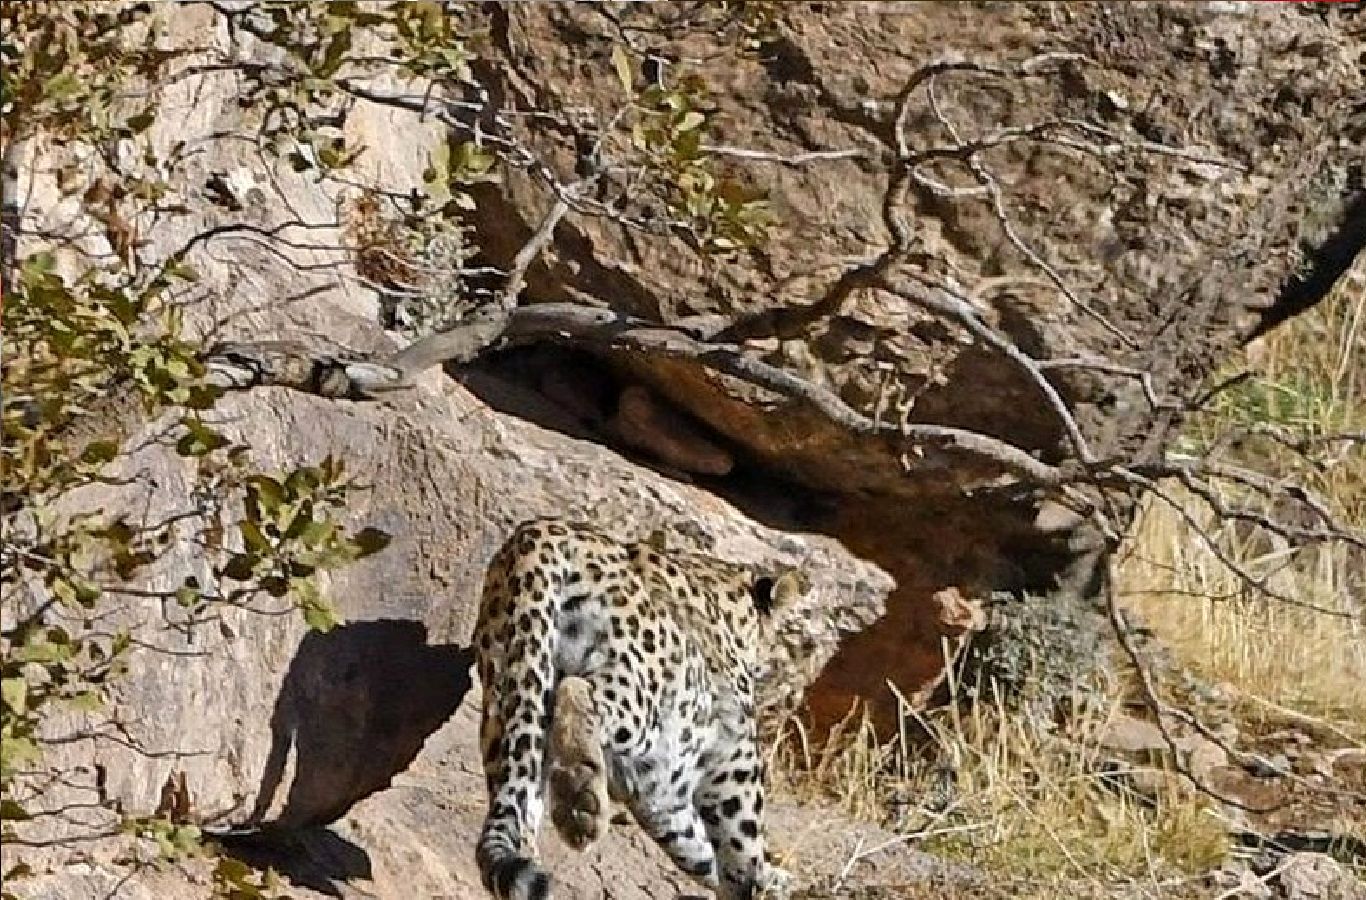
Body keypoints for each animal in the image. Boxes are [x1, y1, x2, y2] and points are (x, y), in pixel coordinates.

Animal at [475, 516, 803, 900]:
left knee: (518, 801)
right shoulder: (734, 756)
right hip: (641, 689)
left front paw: (771, 880)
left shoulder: (662, 786)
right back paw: (579, 802)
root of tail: (539, 532)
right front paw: (756, 882)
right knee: (577, 692)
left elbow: (694, 846)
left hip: (512, 692)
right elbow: (741, 839)